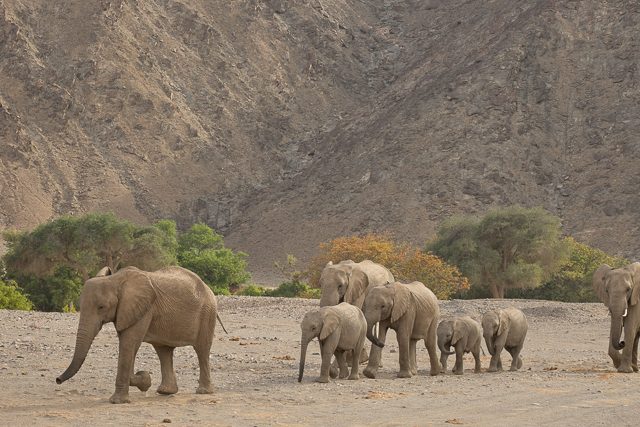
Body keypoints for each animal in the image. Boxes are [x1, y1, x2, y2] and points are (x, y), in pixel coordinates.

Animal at [57, 266, 222, 402]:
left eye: (101, 307)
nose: (57, 380)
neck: (115, 280)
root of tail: (207, 287)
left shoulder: (143, 308)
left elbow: (129, 343)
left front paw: (118, 400)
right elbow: (129, 345)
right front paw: (145, 380)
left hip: (207, 313)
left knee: (201, 350)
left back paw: (203, 392)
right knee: (164, 351)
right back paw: (165, 392)